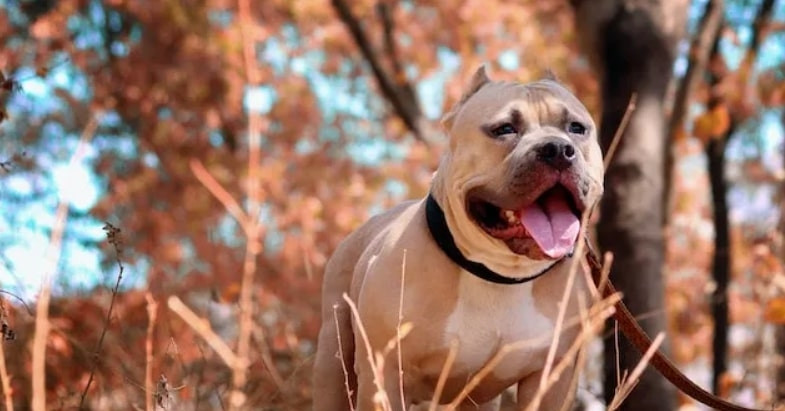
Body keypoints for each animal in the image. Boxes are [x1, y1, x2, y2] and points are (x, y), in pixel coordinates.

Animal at [314, 67, 608, 411]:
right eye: (504, 129)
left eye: (576, 128)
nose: (558, 149)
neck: (498, 274)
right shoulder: (383, 374)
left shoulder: (552, 380)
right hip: (334, 359)